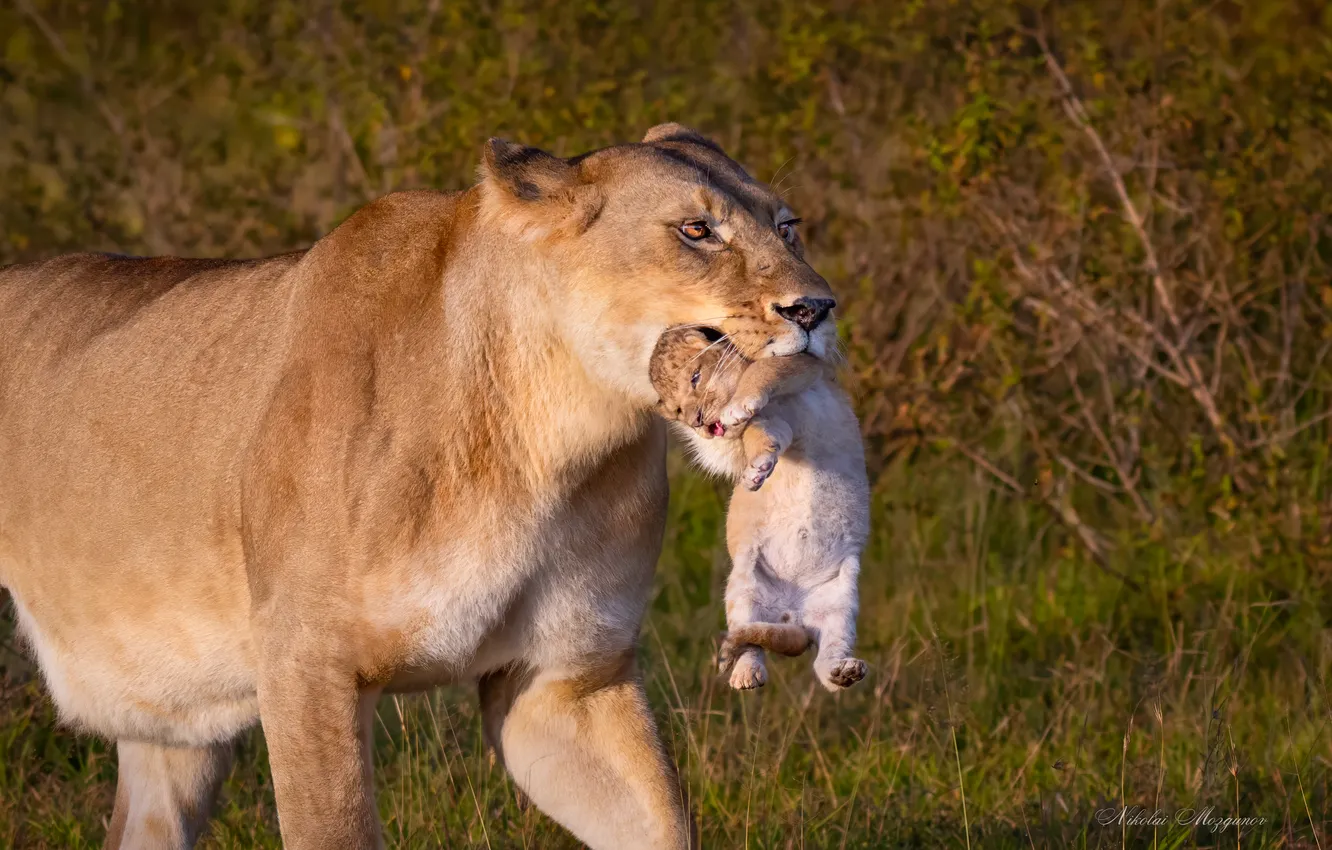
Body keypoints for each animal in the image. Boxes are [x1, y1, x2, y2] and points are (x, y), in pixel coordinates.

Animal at [0, 124, 838, 849]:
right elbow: (334, 830)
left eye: (789, 227)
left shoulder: (565, 680)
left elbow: (660, 818)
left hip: (175, 725)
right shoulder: (305, 665)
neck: (548, 440)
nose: (816, 308)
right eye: (696, 230)